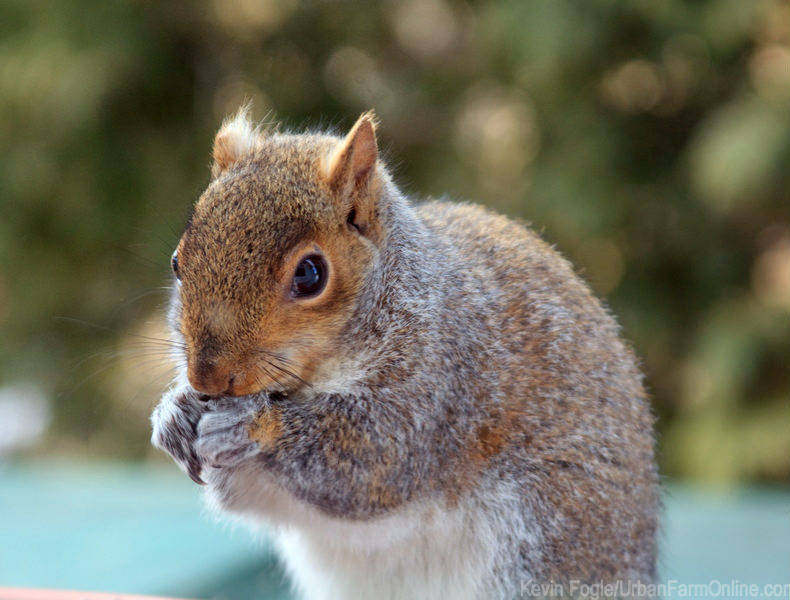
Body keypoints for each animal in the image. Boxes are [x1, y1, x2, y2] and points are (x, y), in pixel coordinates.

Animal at [152, 109, 660, 600]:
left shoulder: (442, 374)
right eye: (178, 261)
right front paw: (175, 413)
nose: (206, 379)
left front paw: (253, 424)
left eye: (311, 274)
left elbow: (378, 456)